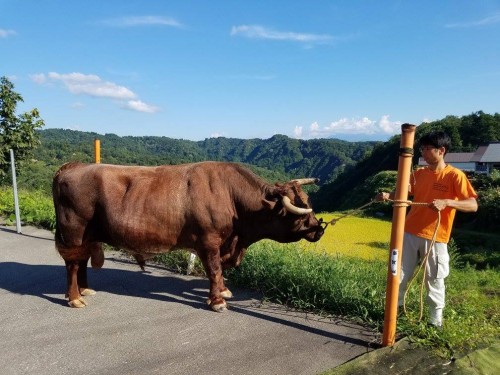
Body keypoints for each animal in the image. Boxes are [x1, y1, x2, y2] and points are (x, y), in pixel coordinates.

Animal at [51, 162, 324, 312]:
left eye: (308, 201)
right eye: (297, 214)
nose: (319, 229)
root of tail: (74, 166)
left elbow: (219, 273)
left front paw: (223, 292)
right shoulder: (209, 242)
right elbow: (214, 270)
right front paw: (217, 301)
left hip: (85, 236)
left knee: (81, 261)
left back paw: (84, 290)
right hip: (74, 232)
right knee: (72, 264)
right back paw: (74, 298)